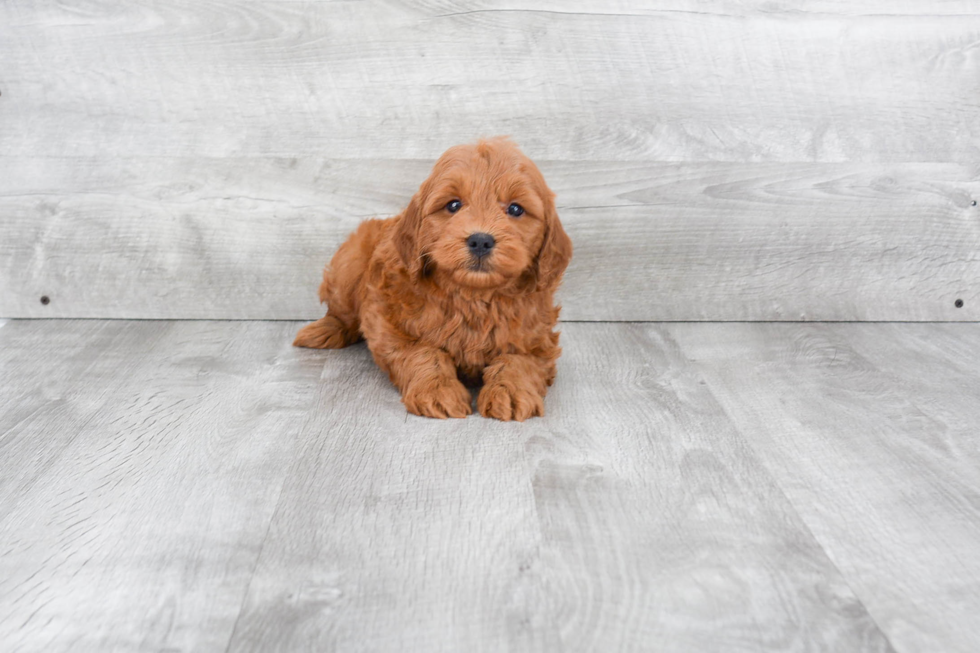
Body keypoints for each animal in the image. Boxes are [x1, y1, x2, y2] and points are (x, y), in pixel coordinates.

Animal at [294, 139, 572, 420]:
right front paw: (438, 390)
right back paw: (324, 330)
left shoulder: (539, 340)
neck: (473, 295)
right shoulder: (389, 323)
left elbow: (519, 360)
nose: (481, 240)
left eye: (515, 209)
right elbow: (422, 352)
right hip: (349, 265)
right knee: (341, 311)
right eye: (453, 205)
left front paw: (510, 391)